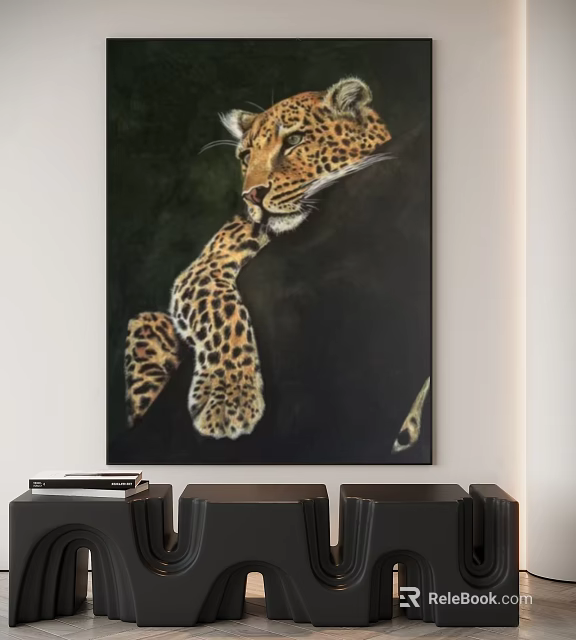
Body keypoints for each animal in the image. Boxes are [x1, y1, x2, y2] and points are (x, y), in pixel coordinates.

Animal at [125, 77, 395, 439]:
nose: (252, 195)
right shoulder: (201, 271)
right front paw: (228, 400)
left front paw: (227, 400)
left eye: (294, 140)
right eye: (246, 156)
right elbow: (221, 314)